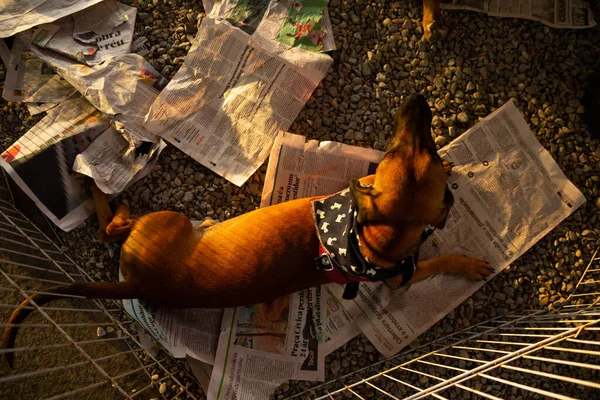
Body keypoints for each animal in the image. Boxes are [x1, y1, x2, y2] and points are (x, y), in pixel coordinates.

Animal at [1, 95, 492, 368]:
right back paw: (101, 187)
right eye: (397, 151)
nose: (418, 103)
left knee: (111, 228)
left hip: (165, 221)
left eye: (424, 148)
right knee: (111, 227)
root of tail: (137, 284)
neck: (363, 240)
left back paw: (105, 192)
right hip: (168, 220)